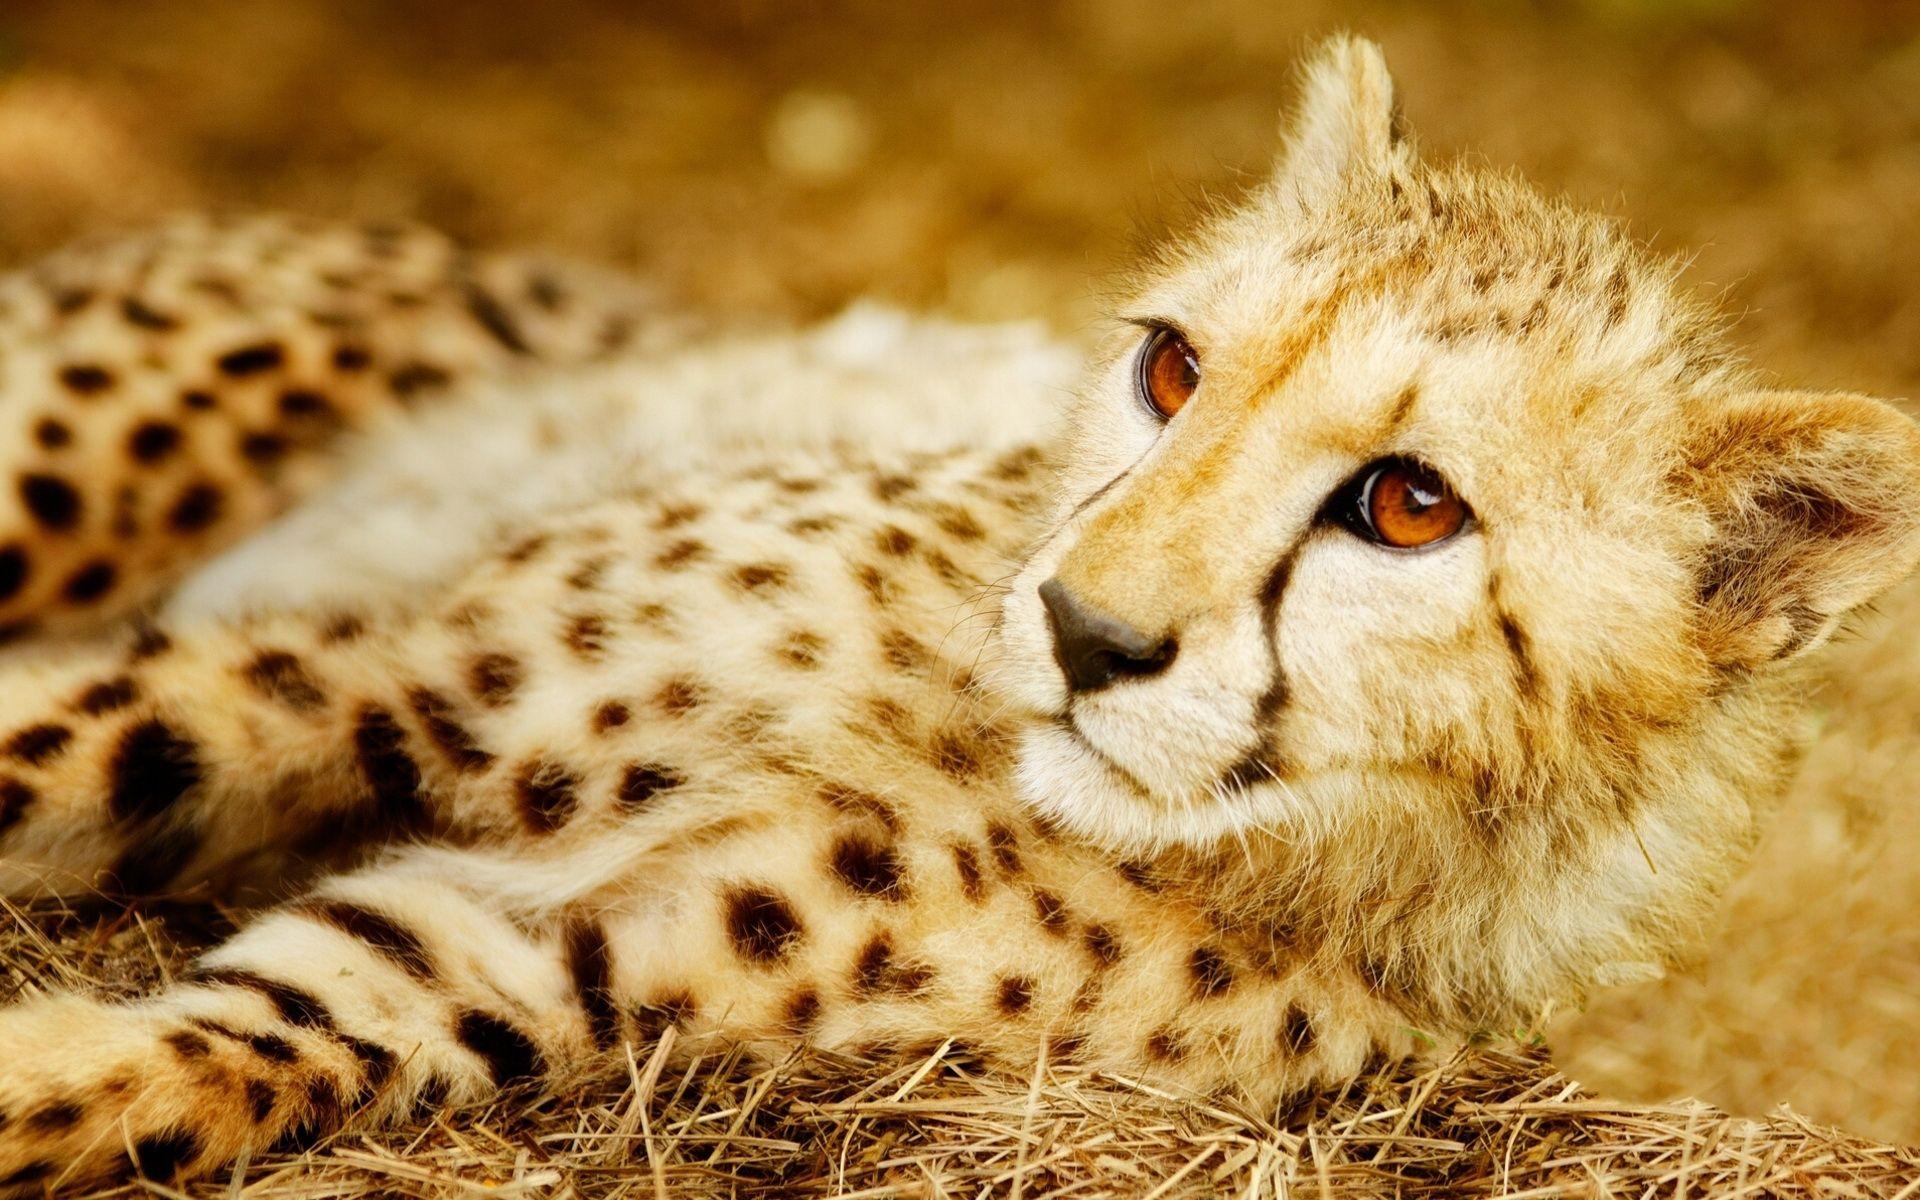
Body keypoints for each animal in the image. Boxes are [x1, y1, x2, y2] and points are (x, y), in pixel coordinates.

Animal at [0, 35, 1916, 1193]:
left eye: (1410, 507)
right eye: (1171, 369)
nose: (1082, 630)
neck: (959, 735)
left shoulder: (561, 956)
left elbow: (233, 1039)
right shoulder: (396, 675)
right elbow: (71, 740)